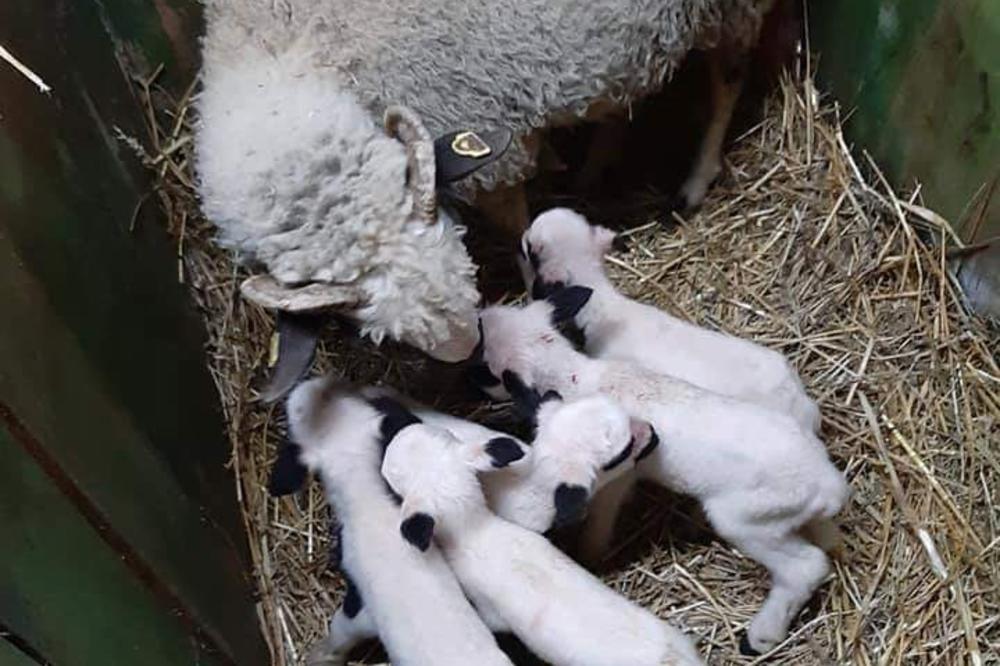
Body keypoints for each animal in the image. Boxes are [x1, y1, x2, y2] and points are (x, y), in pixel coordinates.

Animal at [199, 1, 780, 364]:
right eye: (380, 326)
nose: (467, 350)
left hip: (726, 9)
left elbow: (516, 231)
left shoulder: (493, 145)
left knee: (728, 77)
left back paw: (696, 179)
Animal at [478, 296, 852, 652]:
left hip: (749, 520)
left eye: (485, 365)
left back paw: (760, 636)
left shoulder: (619, 476)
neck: (575, 376)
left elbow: (601, 518)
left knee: (805, 567)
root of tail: (829, 485)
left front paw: (589, 554)